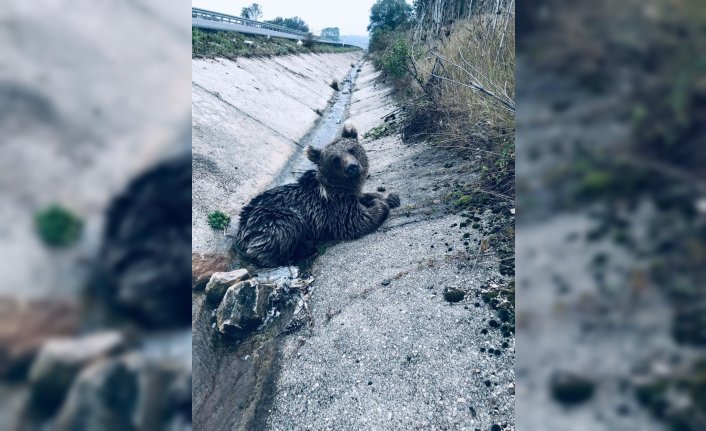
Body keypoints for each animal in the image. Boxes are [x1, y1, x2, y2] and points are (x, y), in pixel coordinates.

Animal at [234, 121, 398, 268]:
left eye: (351, 150)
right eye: (335, 160)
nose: (352, 167)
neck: (339, 187)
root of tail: (241, 228)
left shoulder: (349, 195)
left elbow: (363, 196)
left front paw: (389, 198)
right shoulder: (334, 207)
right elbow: (355, 222)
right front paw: (380, 205)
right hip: (272, 218)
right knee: (281, 233)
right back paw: (303, 247)